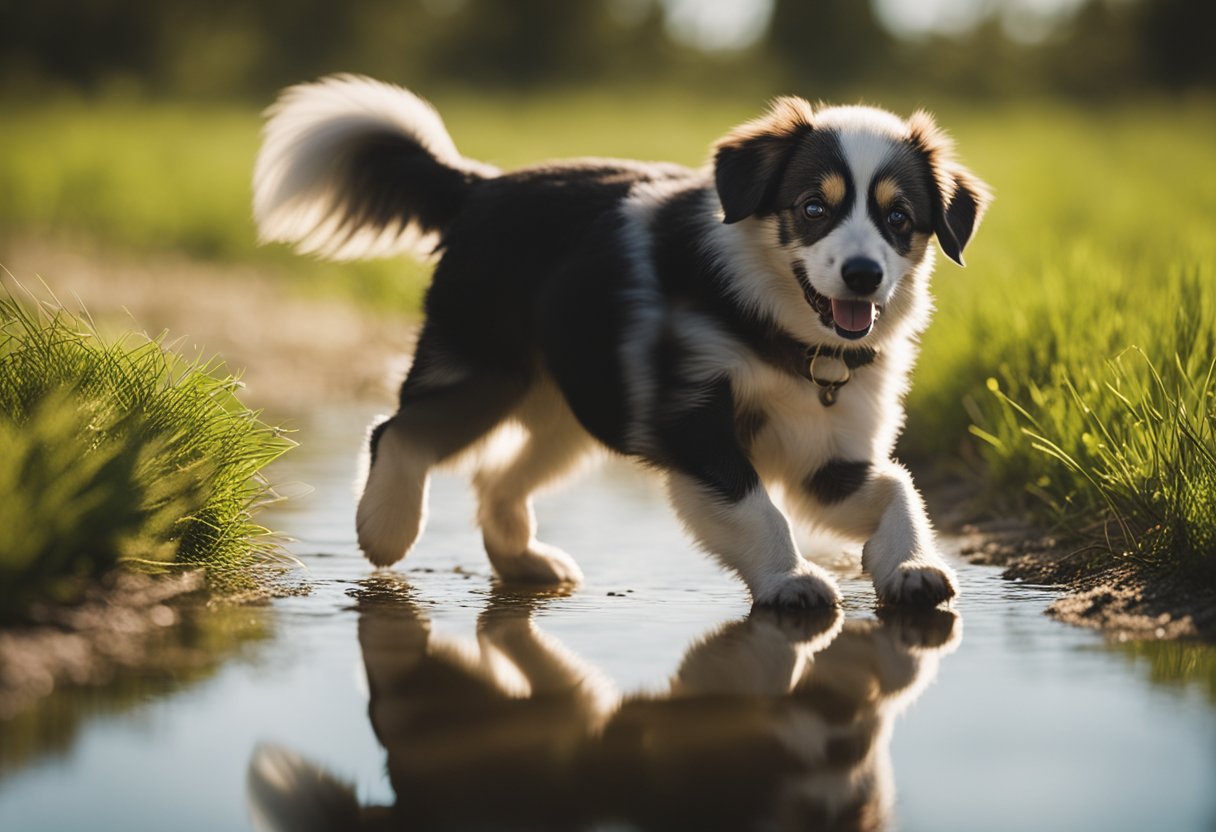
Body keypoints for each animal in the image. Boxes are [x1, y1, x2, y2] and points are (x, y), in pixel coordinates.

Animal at [254, 74, 987, 608]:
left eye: (899, 218)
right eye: (813, 207)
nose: (863, 276)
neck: (774, 324)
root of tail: (480, 187)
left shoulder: (825, 456)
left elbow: (898, 488)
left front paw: (912, 566)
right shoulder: (692, 418)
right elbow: (758, 508)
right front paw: (792, 580)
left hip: (570, 405)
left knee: (495, 476)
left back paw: (523, 560)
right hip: (487, 368)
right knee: (397, 430)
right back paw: (386, 529)